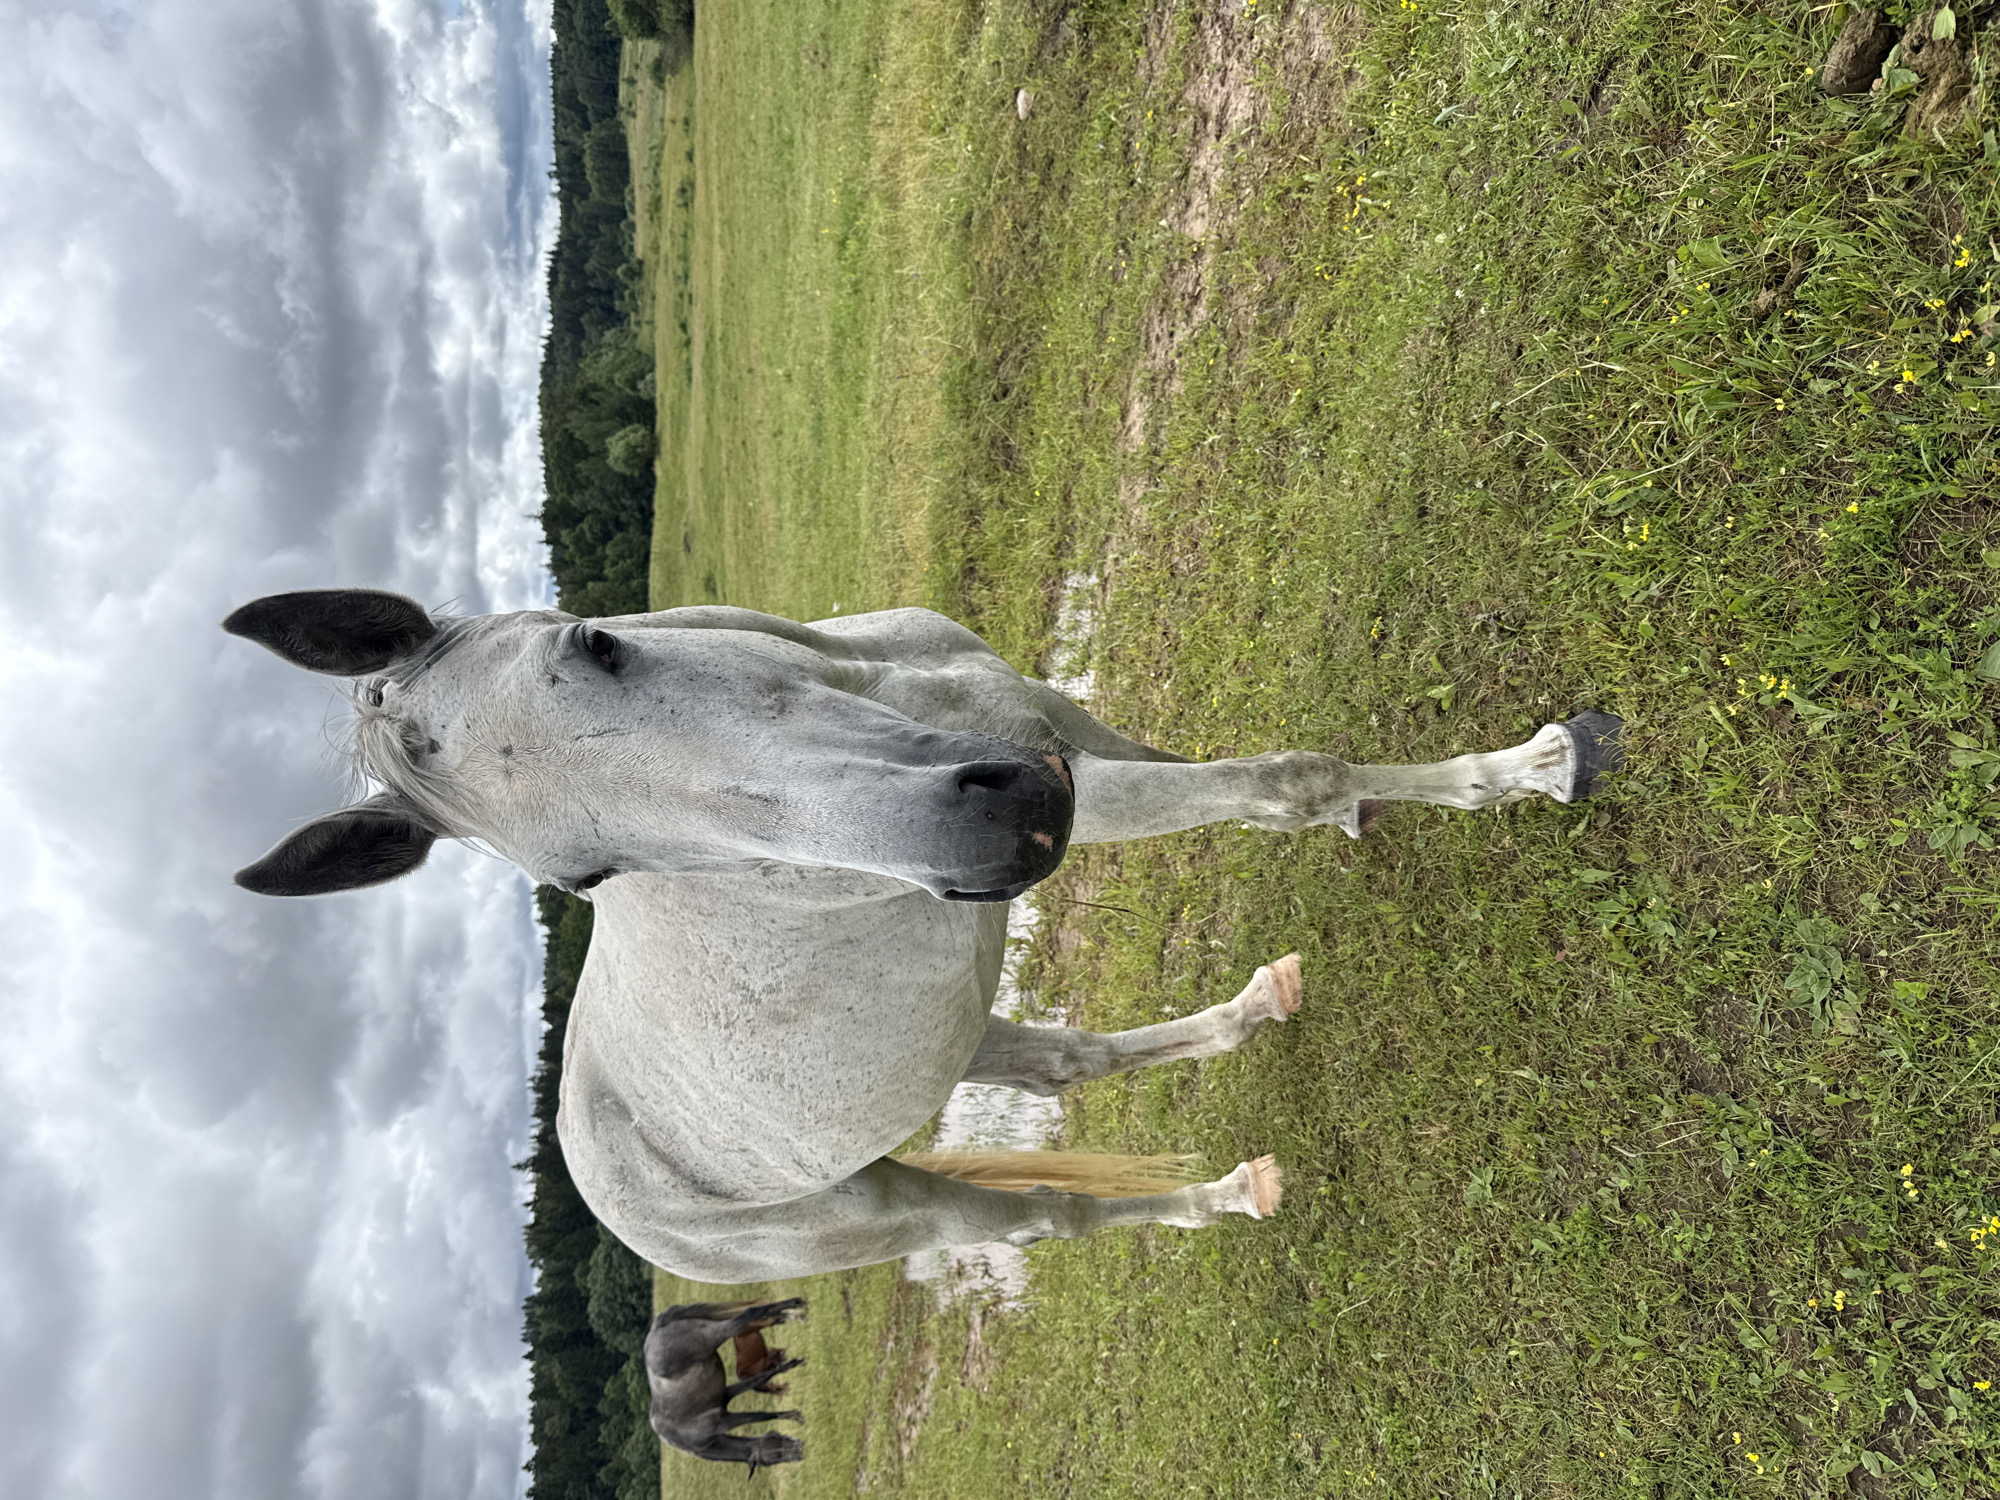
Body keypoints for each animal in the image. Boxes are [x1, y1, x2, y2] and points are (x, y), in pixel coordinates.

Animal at [225, 589, 1621, 1282]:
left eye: (597, 642)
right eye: (582, 874)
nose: (995, 833)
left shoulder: (1052, 720)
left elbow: (1238, 770)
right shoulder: (1078, 778)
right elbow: (1283, 782)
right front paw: (1536, 768)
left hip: (952, 1037)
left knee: (1060, 1064)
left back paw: (1254, 1017)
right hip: (899, 1211)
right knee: (1045, 1222)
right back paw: (1221, 1196)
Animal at [645, 1299, 807, 1472]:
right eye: (774, 1459)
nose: (801, 1450)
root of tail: (655, 1329)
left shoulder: (725, 1420)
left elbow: (760, 1413)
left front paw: (793, 1414)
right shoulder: (726, 1398)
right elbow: (759, 1383)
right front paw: (791, 1366)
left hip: (718, 1332)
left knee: (750, 1313)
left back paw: (795, 1305)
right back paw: (794, 1312)